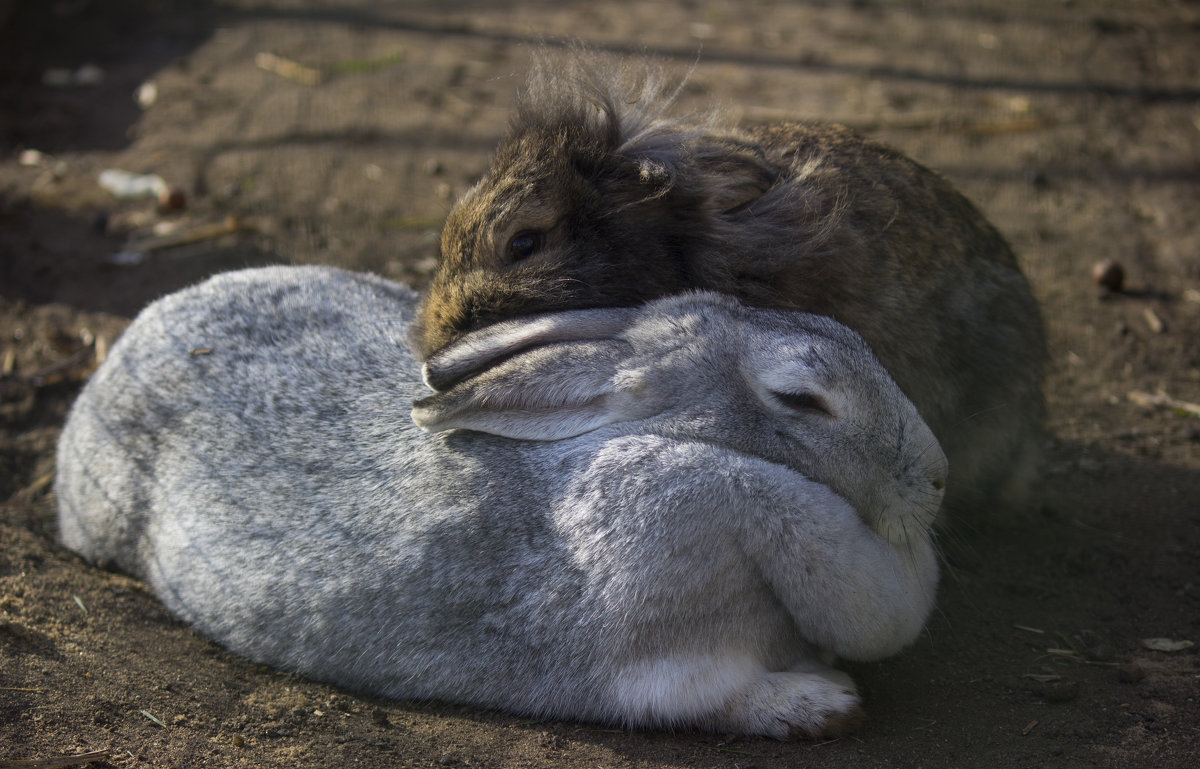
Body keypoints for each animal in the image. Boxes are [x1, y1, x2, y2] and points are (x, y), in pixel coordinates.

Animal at [56, 263, 940, 739]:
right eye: (802, 398)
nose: (934, 478)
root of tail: (128, 345)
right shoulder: (666, 654)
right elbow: (718, 692)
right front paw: (822, 702)